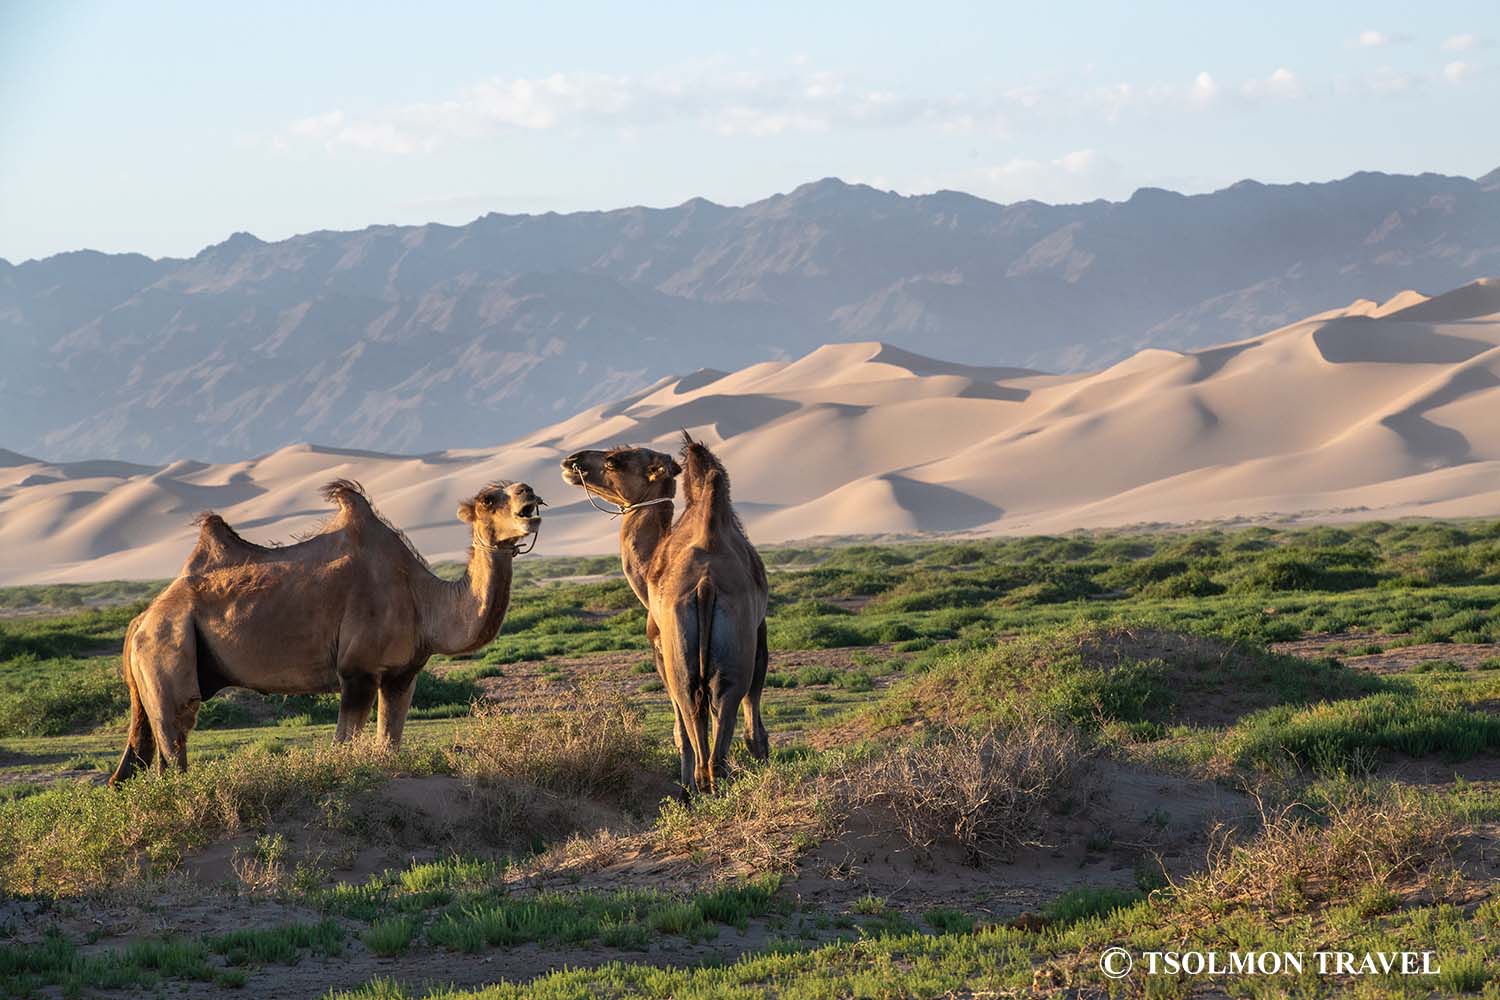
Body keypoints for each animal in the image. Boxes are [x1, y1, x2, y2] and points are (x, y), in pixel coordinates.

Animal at [109, 479, 546, 785]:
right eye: (488, 500)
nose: (528, 492)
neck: (423, 599)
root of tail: (140, 620)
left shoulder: (402, 675)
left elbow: (389, 744)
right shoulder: (357, 672)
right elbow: (343, 745)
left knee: (144, 756)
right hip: (168, 649)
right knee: (174, 738)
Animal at [564, 440, 774, 791]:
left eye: (615, 460)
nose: (571, 461)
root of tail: (706, 584)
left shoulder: (662, 646)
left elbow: (690, 733)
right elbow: (733, 729)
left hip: (697, 654)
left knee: (705, 715)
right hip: (719, 660)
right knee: (716, 714)